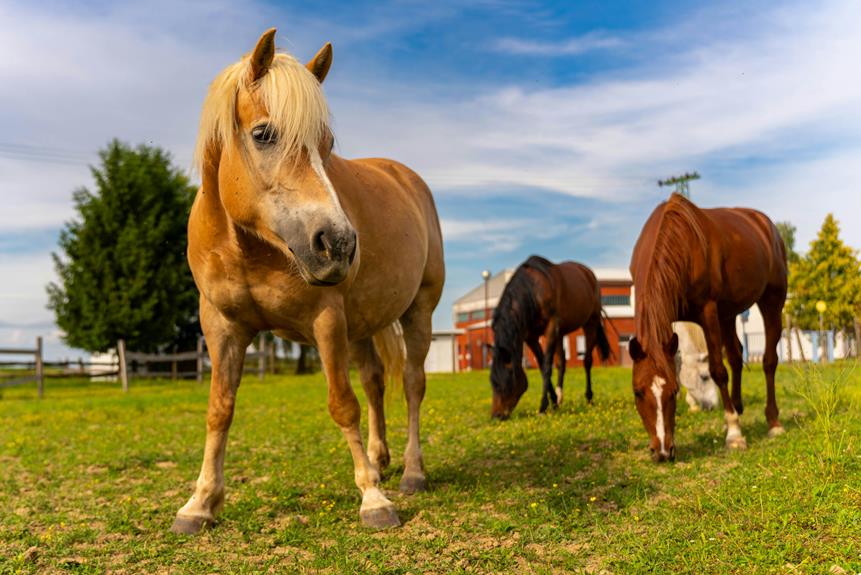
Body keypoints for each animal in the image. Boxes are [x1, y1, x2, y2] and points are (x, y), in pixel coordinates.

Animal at [172, 30, 446, 536]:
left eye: (327, 143)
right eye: (264, 134)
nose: (338, 244)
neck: (250, 248)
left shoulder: (325, 322)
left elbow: (343, 404)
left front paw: (373, 500)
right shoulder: (221, 327)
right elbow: (219, 409)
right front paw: (199, 503)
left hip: (418, 310)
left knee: (412, 384)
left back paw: (412, 473)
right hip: (361, 327)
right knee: (375, 382)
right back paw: (380, 460)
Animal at [490, 256, 612, 418]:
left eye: (503, 383)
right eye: (492, 382)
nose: (496, 415)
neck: (533, 291)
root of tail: (589, 273)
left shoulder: (551, 328)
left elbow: (547, 366)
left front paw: (543, 406)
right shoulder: (531, 337)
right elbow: (543, 366)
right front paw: (553, 402)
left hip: (590, 322)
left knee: (587, 361)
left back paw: (589, 398)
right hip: (560, 334)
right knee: (562, 363)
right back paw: (560, 398)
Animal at [624, 194, 788, 464]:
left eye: (673, 392)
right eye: (637, 392)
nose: (662, 451)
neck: (678, 241)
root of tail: (765, 225)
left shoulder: (708, 311)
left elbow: (718, 371)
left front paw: (734, 435)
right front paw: (730, 421)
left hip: (772, 299)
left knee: (769, 361)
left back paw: (772, 422)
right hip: (729, 312)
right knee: (736, 355)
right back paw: (737, 408)